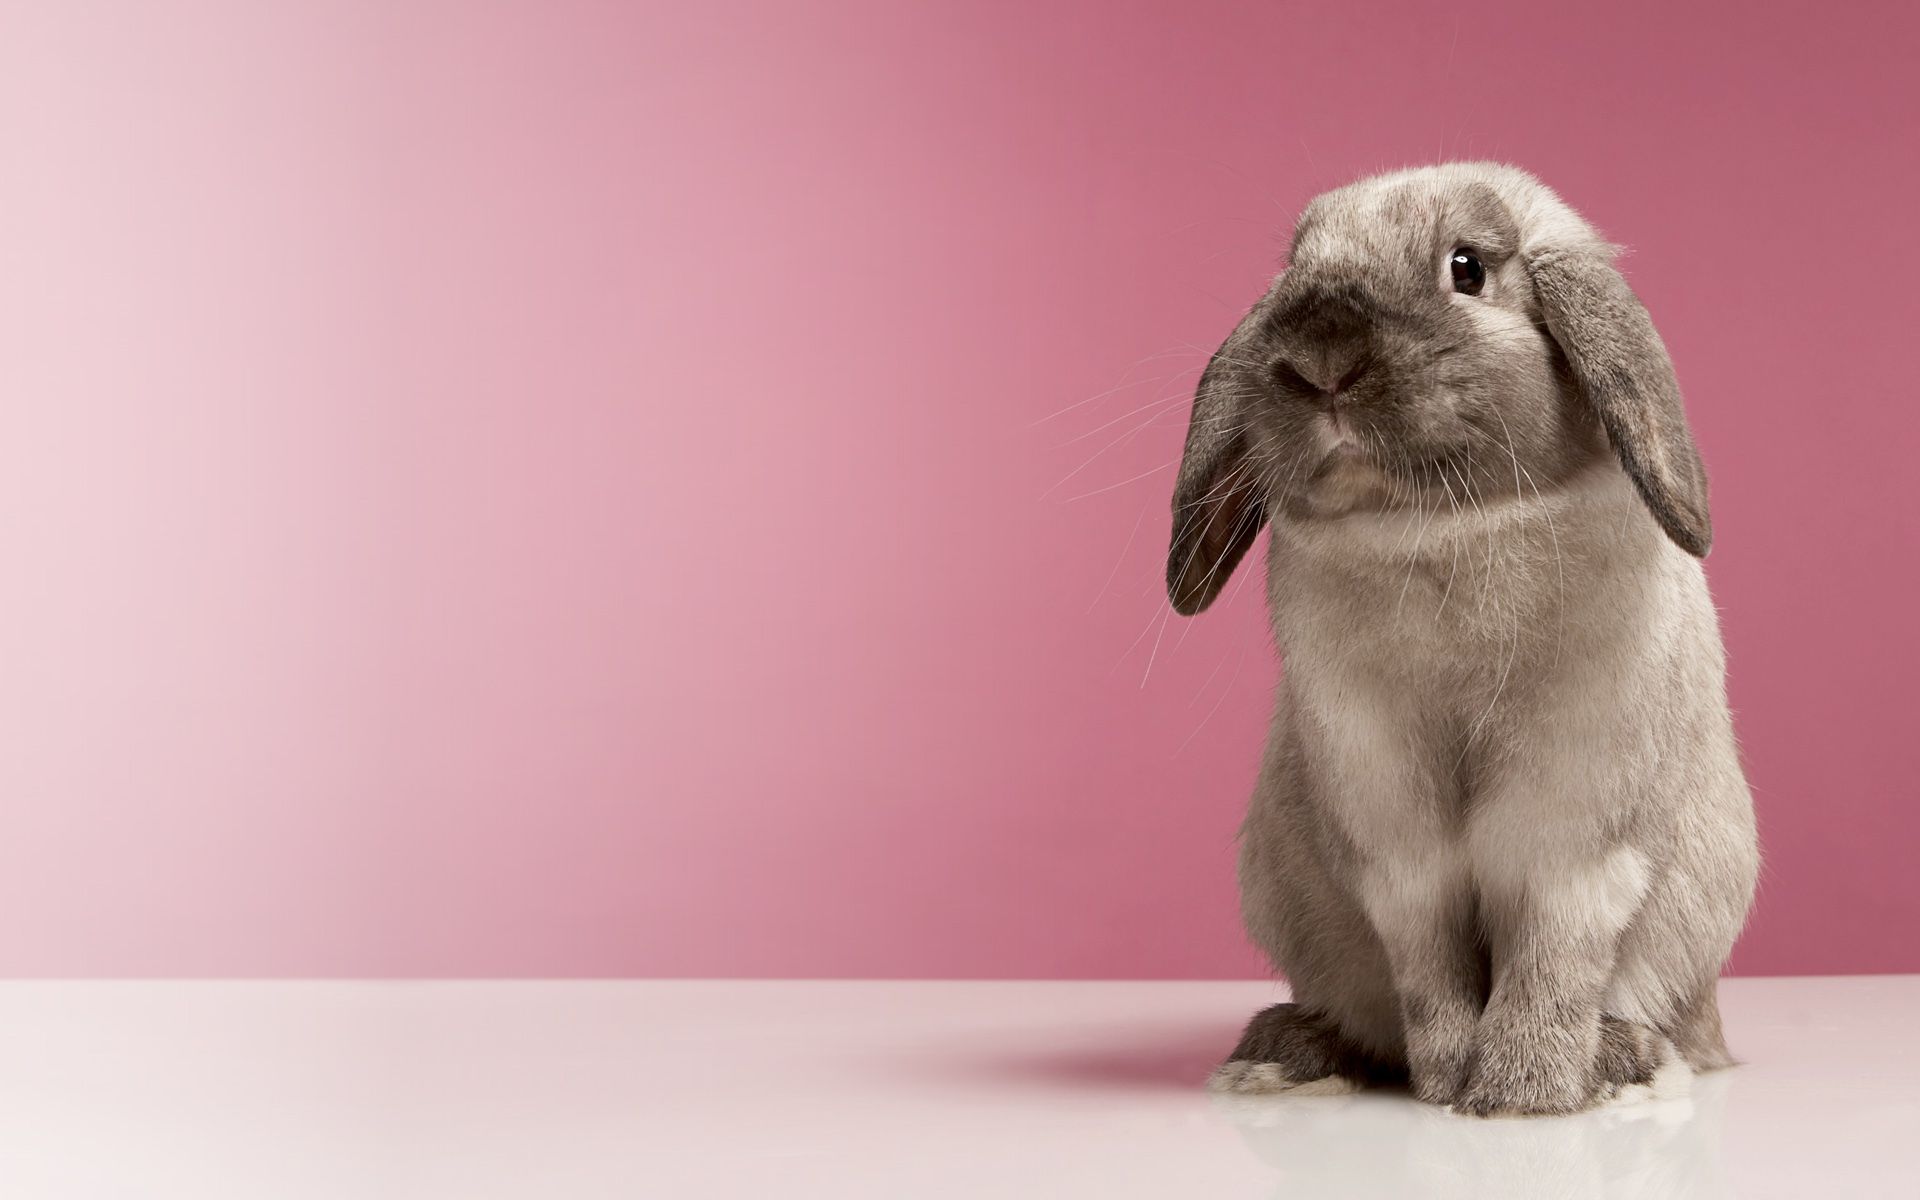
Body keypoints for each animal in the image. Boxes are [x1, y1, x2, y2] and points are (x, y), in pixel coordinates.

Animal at [1168, 163, 1757, 1117]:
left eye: (1468, 267)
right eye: (1296, 265)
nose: (1321, 356)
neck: (1438, 530)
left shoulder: (1574, 830)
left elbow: (1552, 951)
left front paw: (1524, 1092)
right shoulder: (1393, 840)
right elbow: (1429, 961)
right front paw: (1447, 1081)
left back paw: (1621, 1061)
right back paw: (1285, 1054)